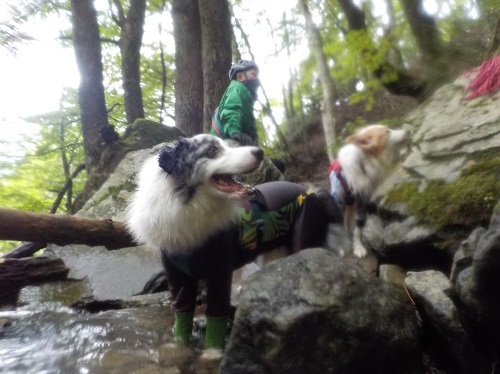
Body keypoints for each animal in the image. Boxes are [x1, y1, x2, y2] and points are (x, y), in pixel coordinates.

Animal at [328, 124, 410, 258]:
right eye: (387, 132)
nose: (408, 130)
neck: (364, 163)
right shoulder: (338, 200)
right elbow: (338, 224)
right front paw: (340, 247)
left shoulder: (363, 200)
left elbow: (358, 228)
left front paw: (358, 247)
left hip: (352, 204)